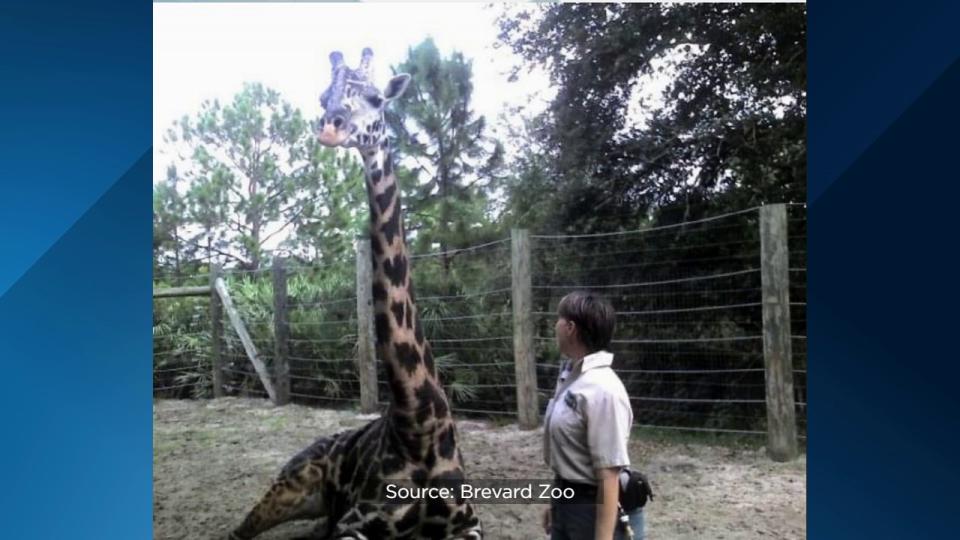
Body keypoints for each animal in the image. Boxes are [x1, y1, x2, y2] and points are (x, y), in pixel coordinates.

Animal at [229, 48, 484, 536]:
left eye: (376, 98)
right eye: (323, 96)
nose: (331, 125)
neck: (417, 423)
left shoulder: (467, 522)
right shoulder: (355, 523)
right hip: (287, 488)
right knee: (238, 530)